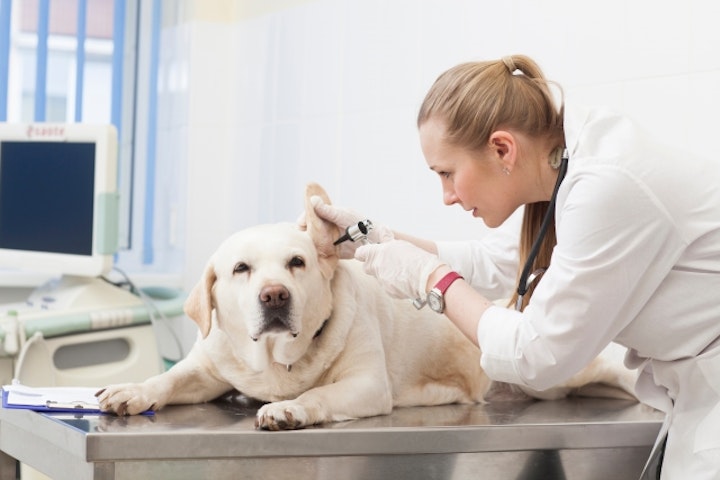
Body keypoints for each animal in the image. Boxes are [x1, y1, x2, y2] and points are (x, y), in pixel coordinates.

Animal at [95, 182, 636, 430]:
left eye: (296, 262)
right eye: (241, 269)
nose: (275, 296)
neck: (277, 363)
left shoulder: (367, 385)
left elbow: (318, 393)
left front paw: (289, 407)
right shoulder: (209, 367)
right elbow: (169, 379)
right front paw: (132, 390)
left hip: (562, 364)